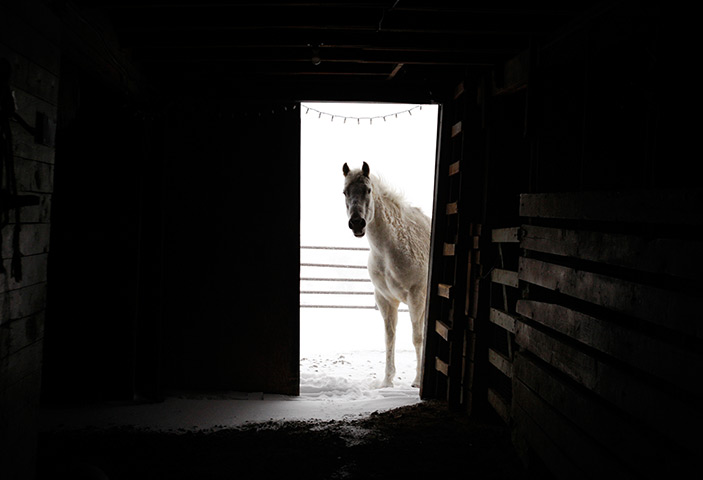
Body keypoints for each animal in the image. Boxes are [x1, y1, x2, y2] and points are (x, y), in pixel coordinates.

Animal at [342, 161, 431, 387]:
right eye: (345, 192)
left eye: (368, 190)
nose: (357, 223)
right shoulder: (385, 299)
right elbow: (389, 337)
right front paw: (387, 381)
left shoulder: (416, 297)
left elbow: (417, 337)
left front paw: (418, 381)